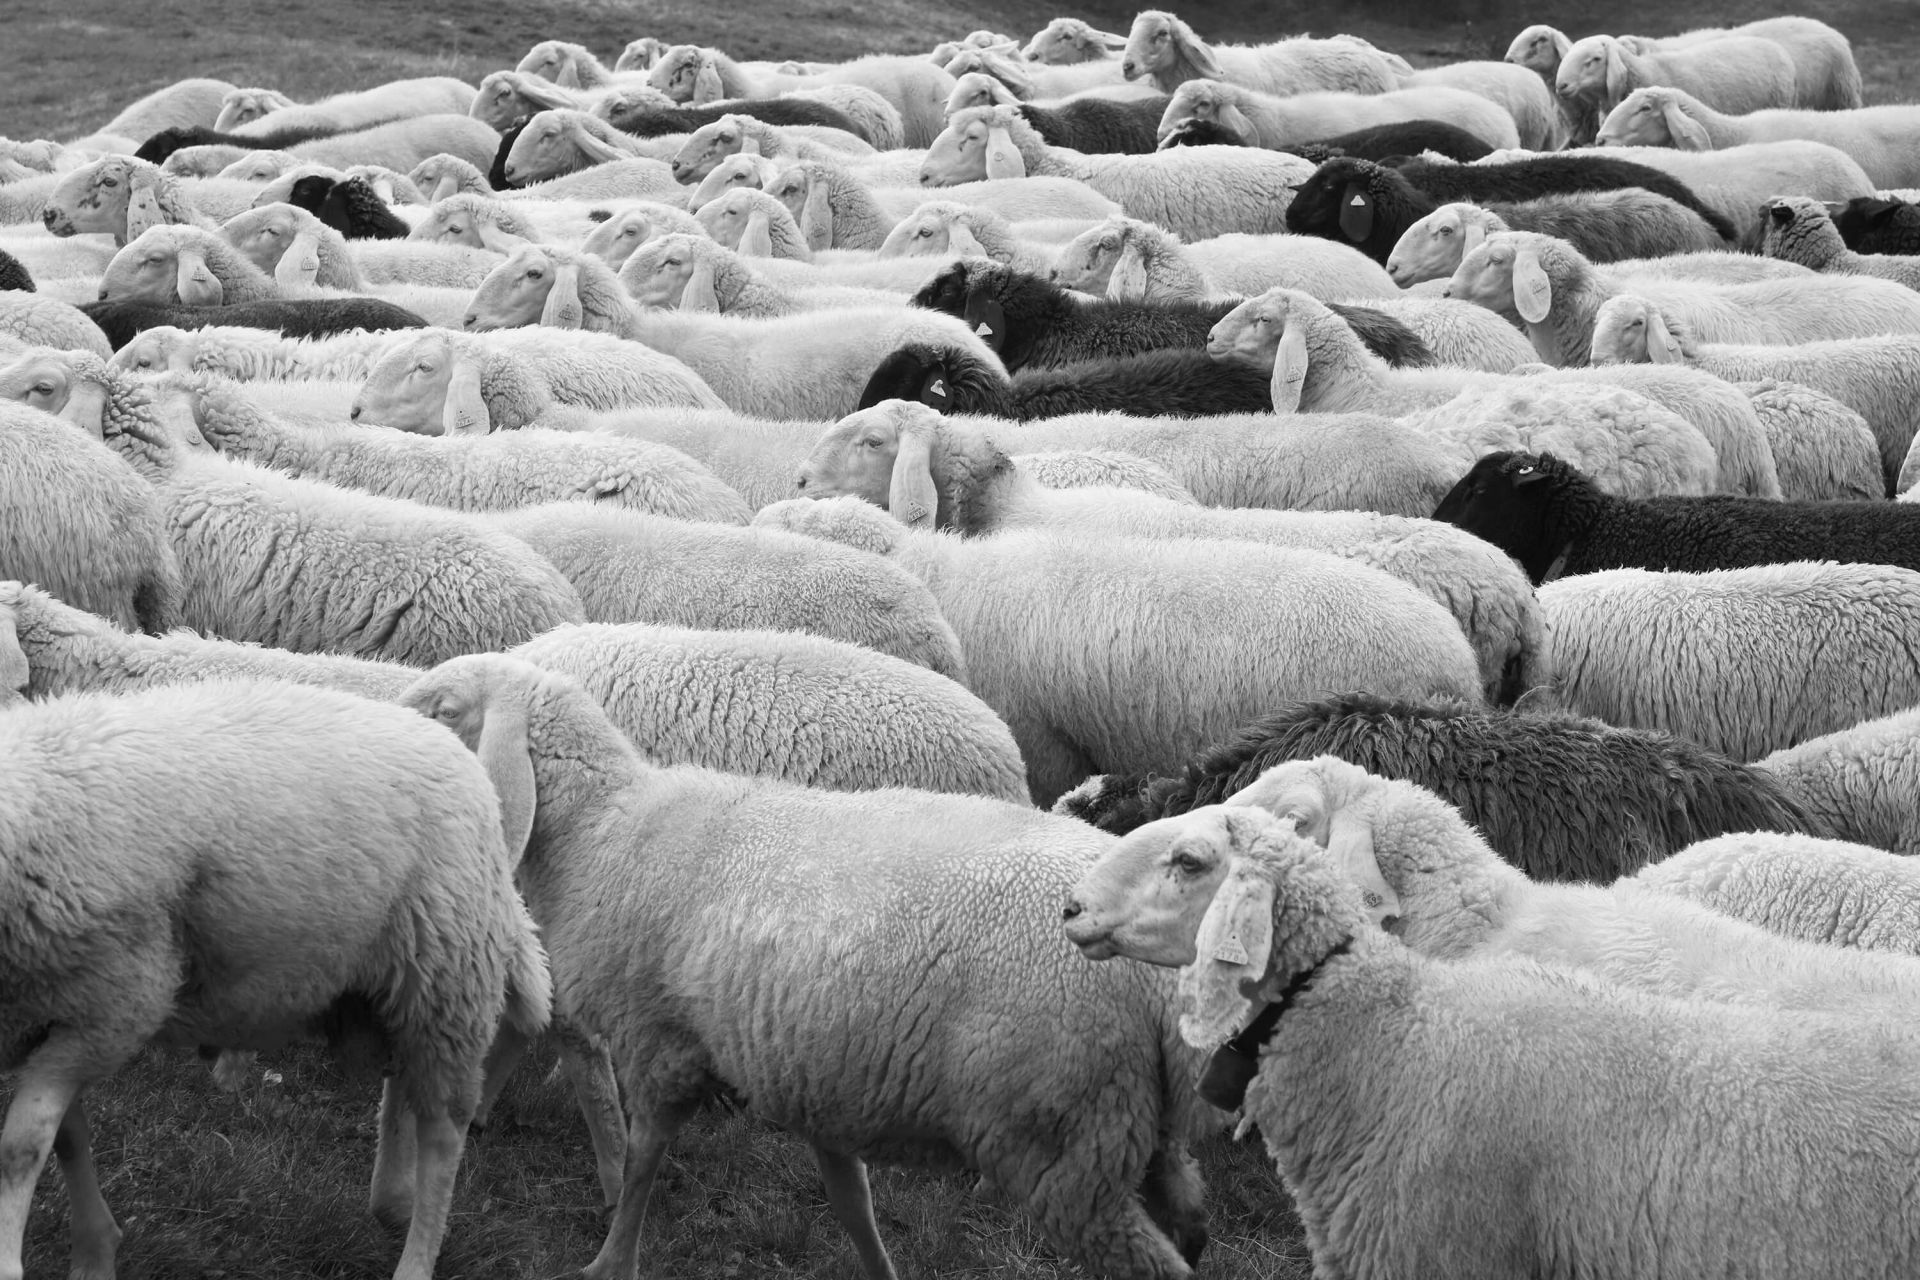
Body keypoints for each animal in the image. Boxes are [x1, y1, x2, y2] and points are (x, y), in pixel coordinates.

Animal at [0, 676, 549, 1280]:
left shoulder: (113, 1009)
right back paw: (392, 1201)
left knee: (445, 1135)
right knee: (403, 1089)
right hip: (402, 989)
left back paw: (416, 1254)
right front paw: (95, 1249)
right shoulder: (41, 1016)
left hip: (448, 978)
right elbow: (68, 1136)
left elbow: (21, 1147)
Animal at [396, 651, 1210, 1280]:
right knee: (1191, 1225)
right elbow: (851, 1203)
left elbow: (641, 1163)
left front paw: (610, 1261)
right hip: (1142, 1137)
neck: (604, 828)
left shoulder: (660, 1044)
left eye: (444, 708)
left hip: (1066, 1140)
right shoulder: (815, 1066)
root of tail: (1156, 980)